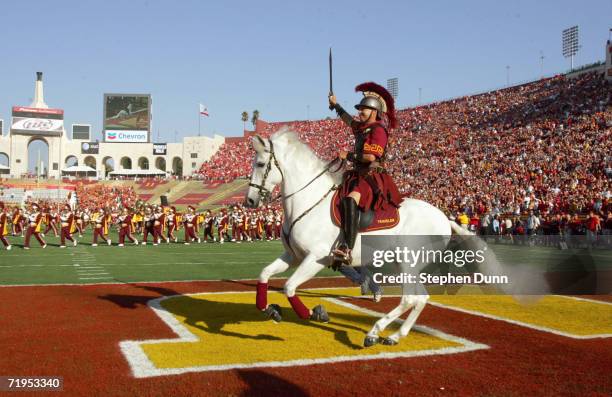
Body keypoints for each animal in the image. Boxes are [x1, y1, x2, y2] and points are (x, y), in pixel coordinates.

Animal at [245, 128, 474, 344]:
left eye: (260, 164)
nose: (249, 201)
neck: (307, 202)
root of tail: (444, 218)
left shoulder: (316, 259)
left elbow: (289, 287)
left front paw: (315, 313)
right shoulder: (293, 256)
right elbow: (264, 274)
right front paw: (269, 308)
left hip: (407, 263)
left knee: (409, 298)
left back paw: (374, 331)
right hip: (407, 265)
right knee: (421, 298)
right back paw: (395, 335)